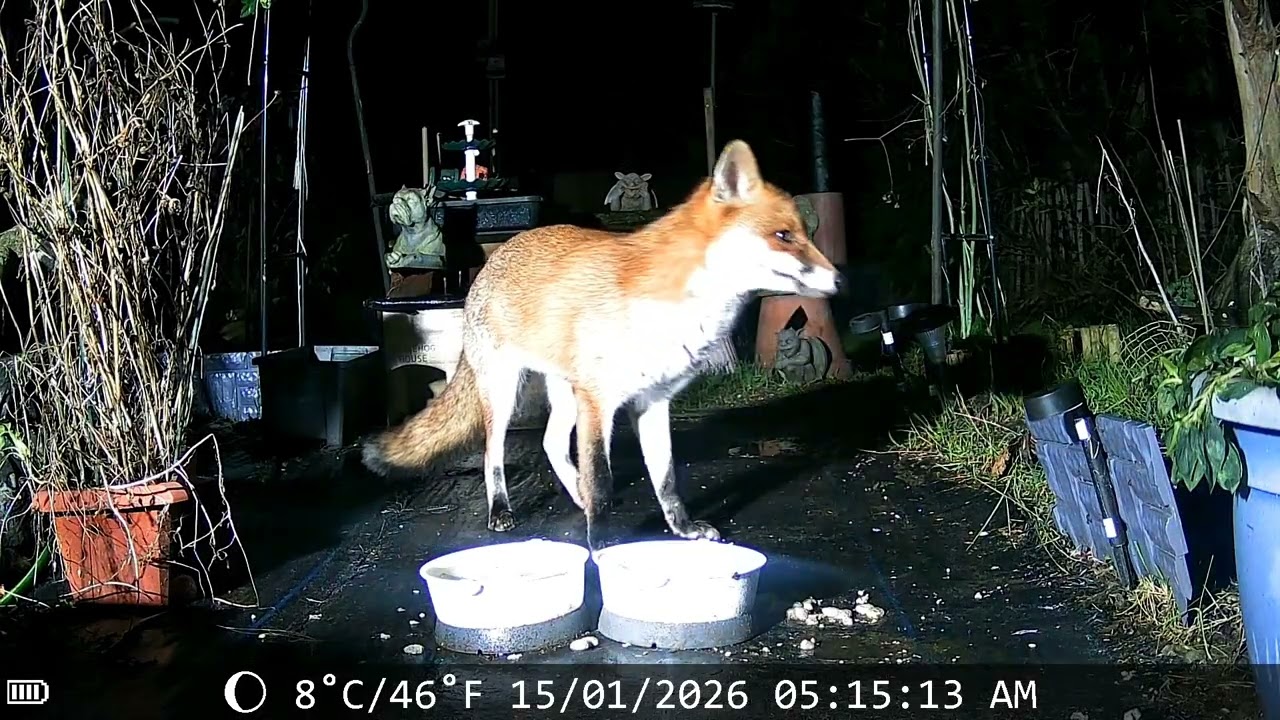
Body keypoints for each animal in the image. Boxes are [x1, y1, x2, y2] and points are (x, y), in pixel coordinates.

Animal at [361, 140, 844, 551]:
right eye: (783, 236)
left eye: (804, 233)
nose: (840, 280)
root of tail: (499, 254)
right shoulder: (598, 399)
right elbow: (602, 479)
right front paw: (602, 549)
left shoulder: (652, 400)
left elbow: (666, 479)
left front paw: (683, 530)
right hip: (505, 392)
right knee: (493, 454)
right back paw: (501, 510)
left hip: (562, 393)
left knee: (551, 444)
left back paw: (574, 495)